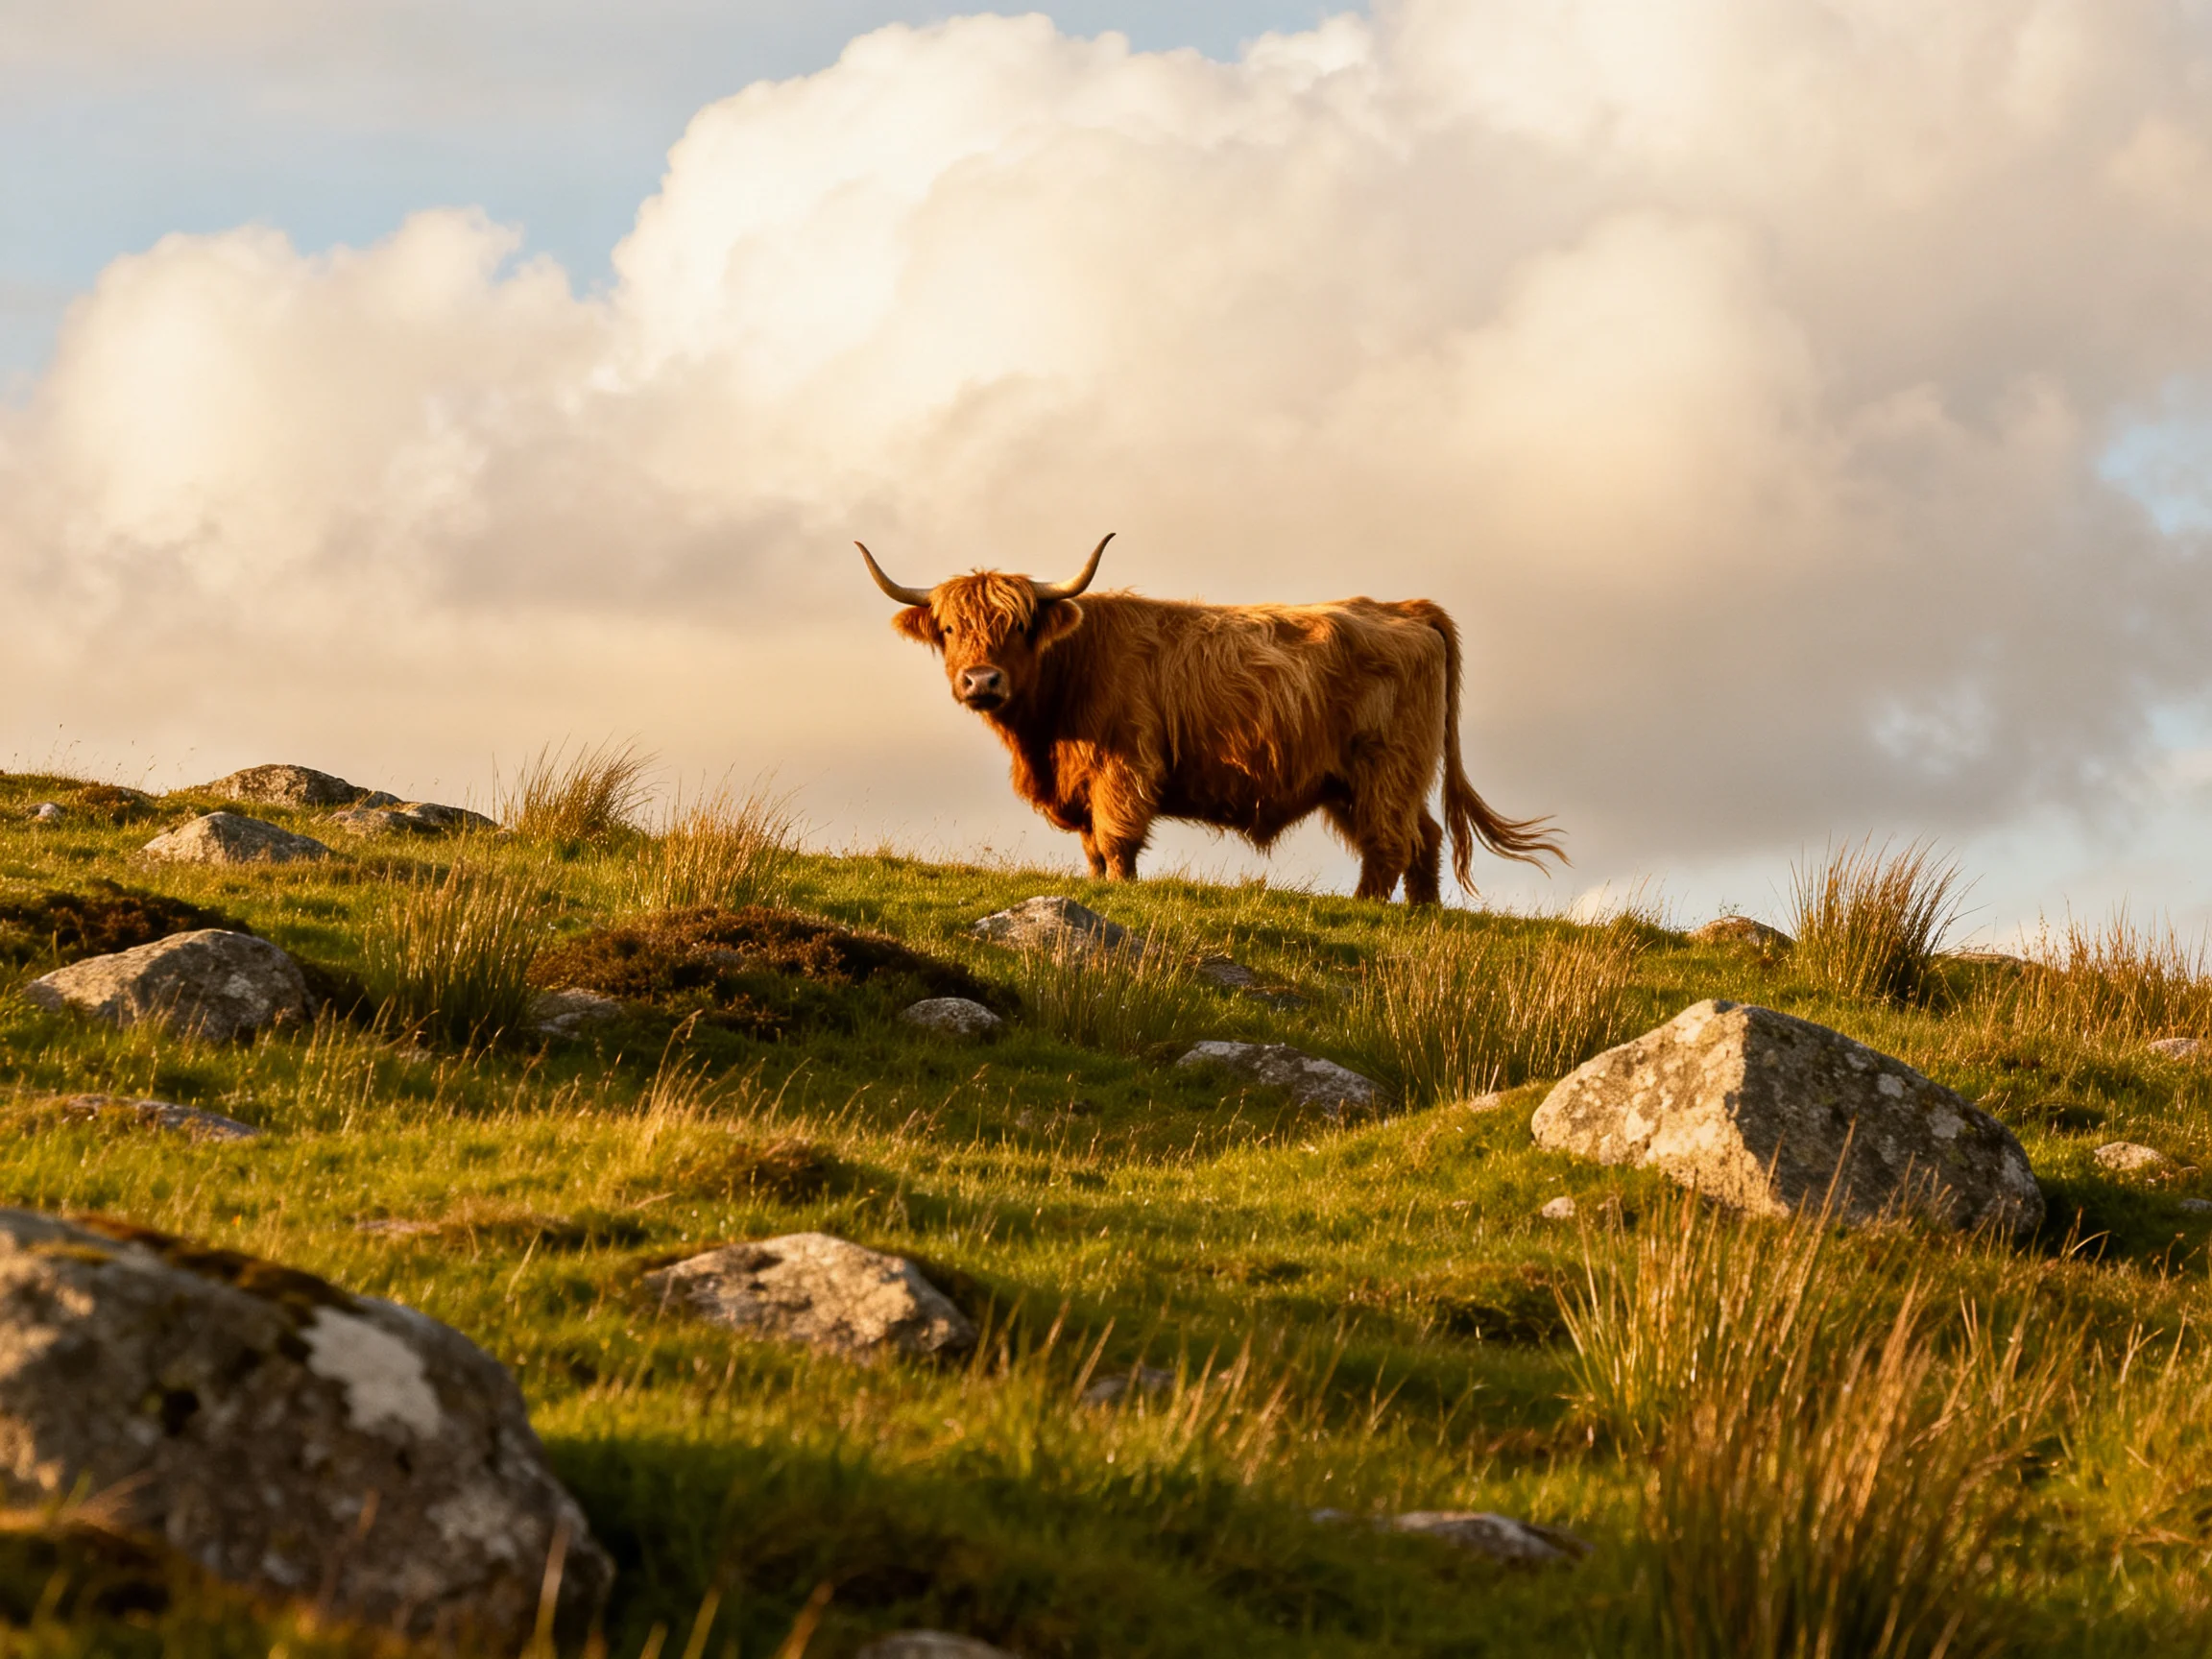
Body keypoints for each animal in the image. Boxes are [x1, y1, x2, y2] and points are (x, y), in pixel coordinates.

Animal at [859, 535, 1565, 902]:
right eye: (951, 630)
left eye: (1019, 626)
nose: (982, 681)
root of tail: (1402, 607)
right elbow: (1091, 849)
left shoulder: (1124, 768)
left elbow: (1115, 840)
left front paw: (1123, 893)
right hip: (1368, 779)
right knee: (1423, 837)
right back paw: (1420, 914)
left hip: (1383, 767)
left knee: (1390, 844)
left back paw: (1368, 909)